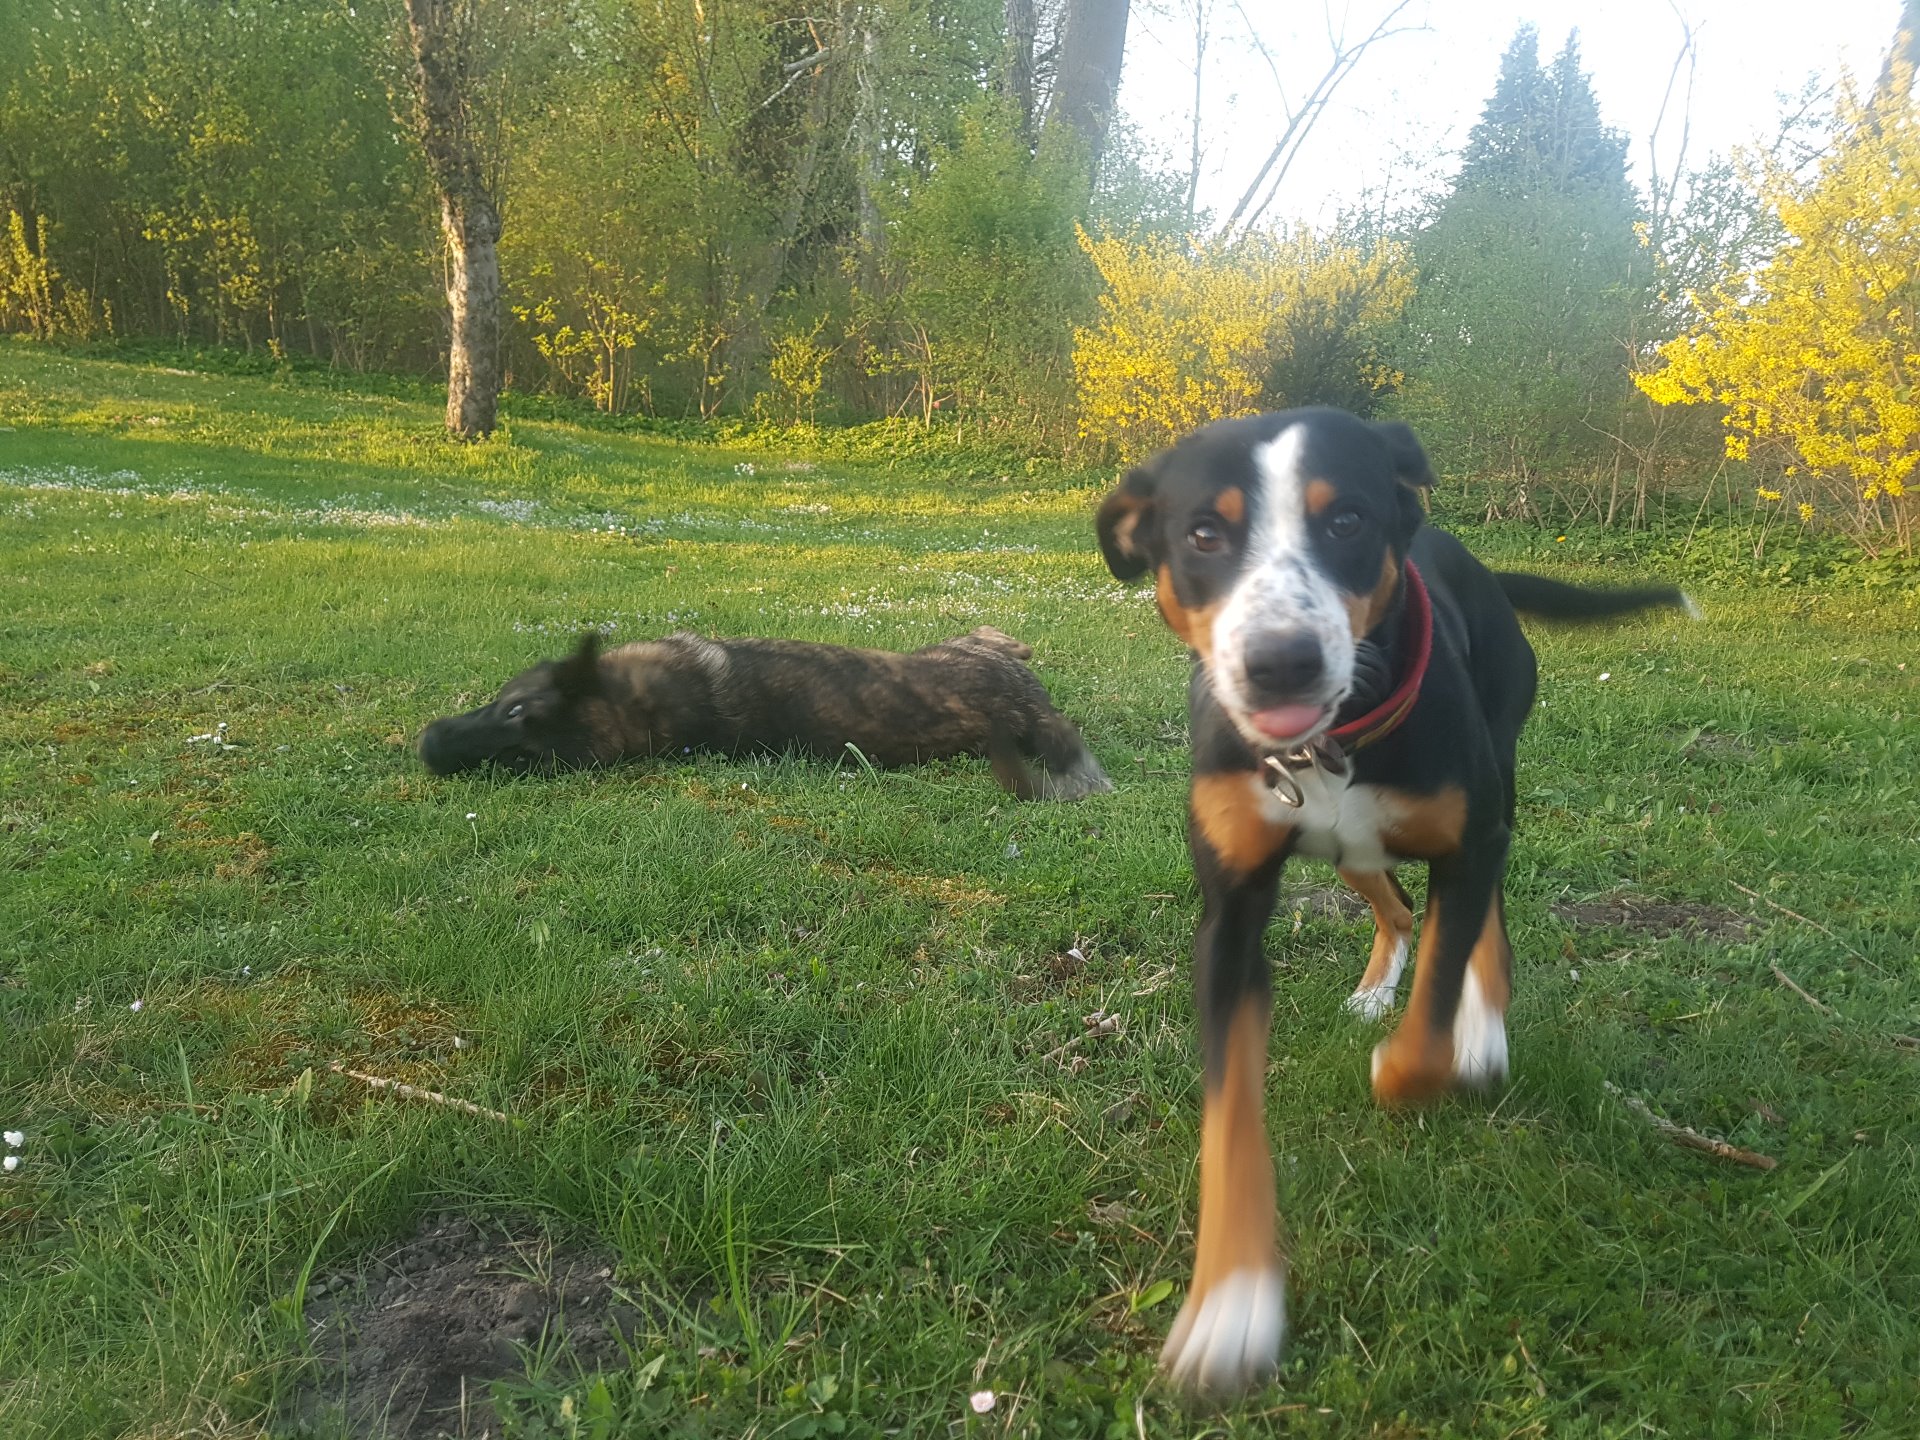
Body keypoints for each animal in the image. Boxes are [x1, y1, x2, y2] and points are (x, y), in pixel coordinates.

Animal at [1098, 407, 1697, 1397]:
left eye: (1345, 520)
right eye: (1203, 534)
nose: (1281, 662)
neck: (1332, 743)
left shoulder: (1470, 839)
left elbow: (1433, 1013)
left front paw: (1428, 1055)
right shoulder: (1228, 921)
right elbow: (1230, 1121)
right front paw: (1231, 1303)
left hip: (1496, 786)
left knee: (1479, 924)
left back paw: (1481, 1031)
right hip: (1352, 853)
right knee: (1396, 906)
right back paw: (1378, 985)